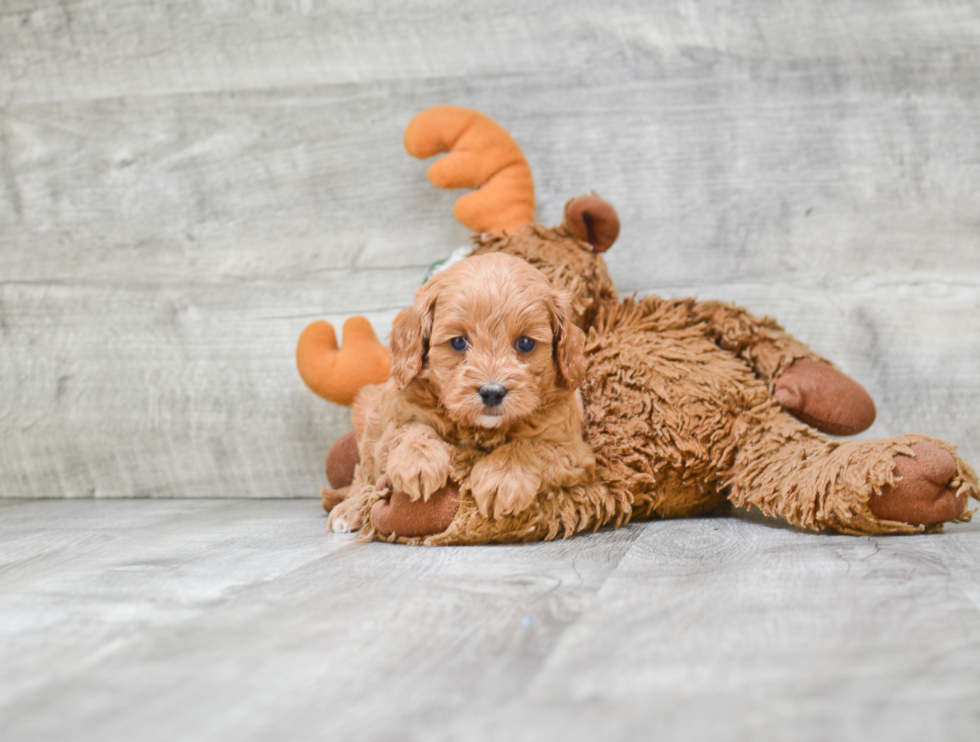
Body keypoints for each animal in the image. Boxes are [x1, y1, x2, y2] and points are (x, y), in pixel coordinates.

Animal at [330, 253, 592, 532]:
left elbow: (529, 445)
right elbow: (410, 429)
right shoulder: (395, 416)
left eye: (525, 343)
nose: (492, 392)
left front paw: (501, 477)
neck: (479, 429)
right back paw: (350, 508)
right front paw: (418, 462)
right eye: (458, 342)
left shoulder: (573, 449)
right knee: (364, 475)